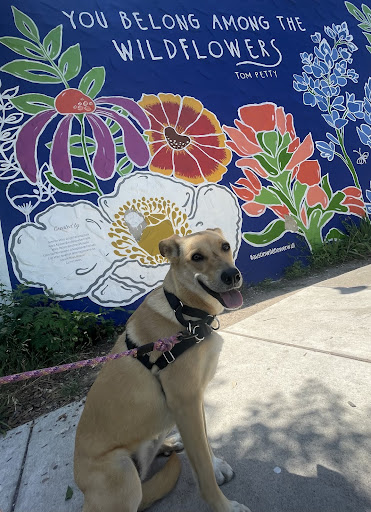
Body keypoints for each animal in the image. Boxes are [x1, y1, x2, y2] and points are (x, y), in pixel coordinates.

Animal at [74, 229, 251, 512]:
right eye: (196, 257)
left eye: (225, 247)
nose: (232, 275)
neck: (183, 313)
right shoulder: (186, 403)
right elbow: (203, 469)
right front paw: (224, 506)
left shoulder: (194, 401)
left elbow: (205, 440)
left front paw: (216, 465)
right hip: (122, 472)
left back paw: (169, 443)